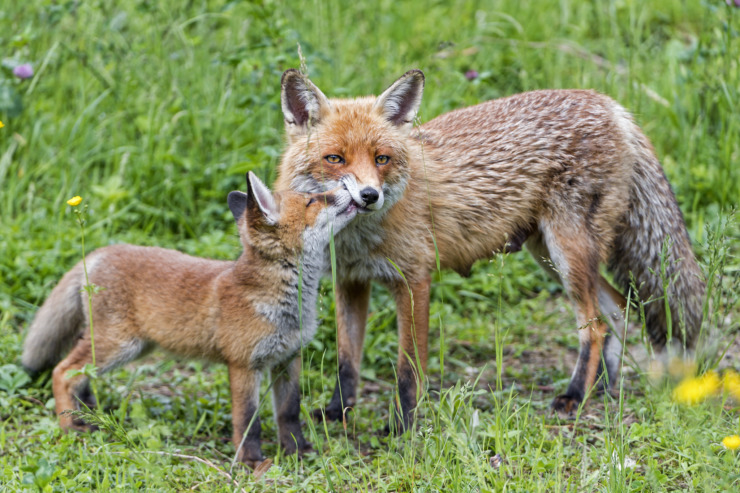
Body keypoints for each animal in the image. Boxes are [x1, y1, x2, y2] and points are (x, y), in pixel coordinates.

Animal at [274, 68, 704, 426]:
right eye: (335, 159)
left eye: (382, 159)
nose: (369, 196)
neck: (358, 238)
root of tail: (611, 105)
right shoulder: (349, 281)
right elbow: (347, 362)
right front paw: (337, 413)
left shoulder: (414, 281)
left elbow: (408, 369)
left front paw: (402, 426)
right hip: (551, 257)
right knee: (617, 310)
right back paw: (602, 389)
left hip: (567, 252)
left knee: (595, 325)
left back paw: (574, 395)